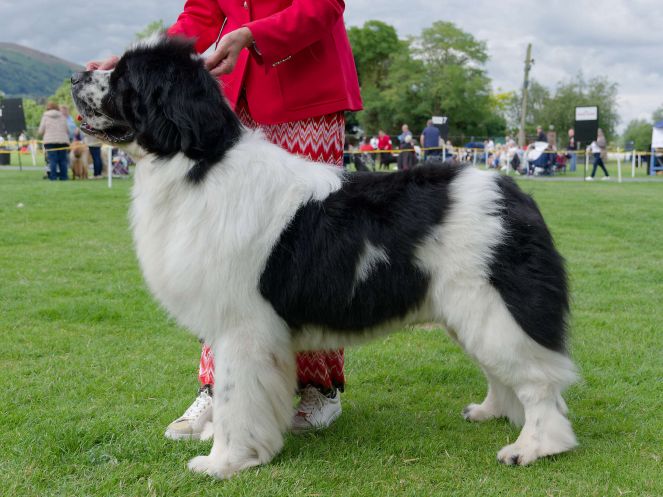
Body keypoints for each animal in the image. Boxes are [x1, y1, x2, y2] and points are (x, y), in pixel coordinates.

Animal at [72, 35, 580, 476]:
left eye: (124, 78)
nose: (77, 75)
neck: (200, 162)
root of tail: (516, 194)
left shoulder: (242, 328)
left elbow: (236, 396)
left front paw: (224, 462)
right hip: (472, 312)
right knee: (505, 374)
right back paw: (490, 411)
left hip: (494, 307)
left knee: (540, 384)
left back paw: (533, 447)